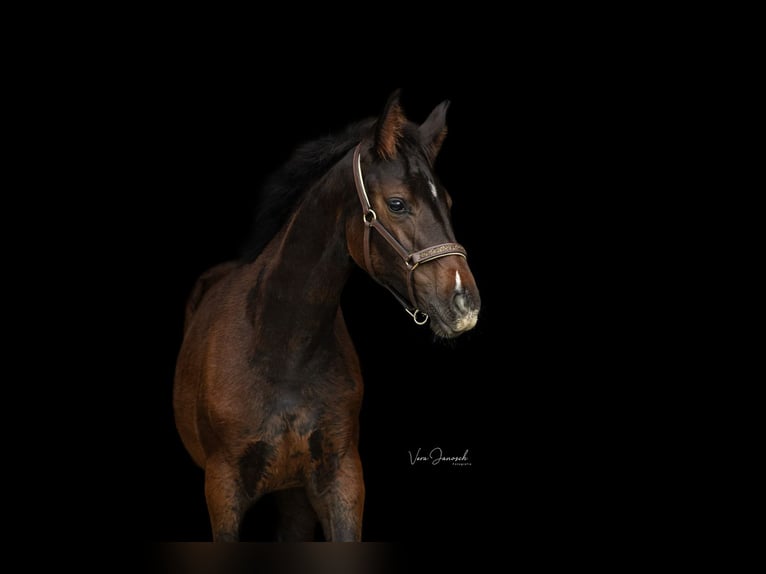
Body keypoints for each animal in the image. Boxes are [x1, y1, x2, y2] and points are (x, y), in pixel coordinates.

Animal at [173, 90, 481, 541]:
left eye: (449, 202)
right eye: (397, 204)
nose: (464, 302)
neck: (282, 346)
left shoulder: (342, 479)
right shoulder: (222, 487)